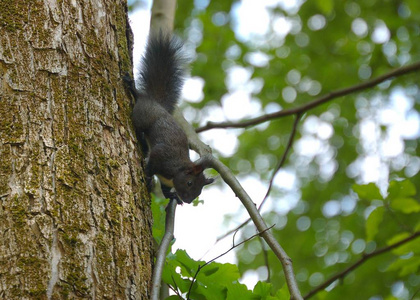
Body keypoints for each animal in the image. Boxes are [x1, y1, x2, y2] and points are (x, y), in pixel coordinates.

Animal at [125, 32, 213, 205]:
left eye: (199, 191)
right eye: (189, 182)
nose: (188, 200)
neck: (176, 172)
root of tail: (156, 102)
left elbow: (165, 188)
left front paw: (170, 195)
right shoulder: (162, 157)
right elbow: (152, 163)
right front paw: (148, 176)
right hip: (142, 114)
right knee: (140, 105)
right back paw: (134, 90)